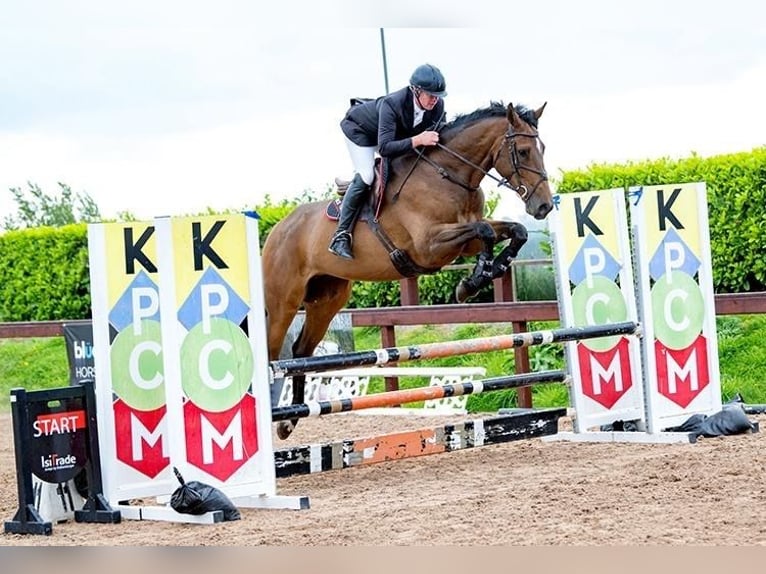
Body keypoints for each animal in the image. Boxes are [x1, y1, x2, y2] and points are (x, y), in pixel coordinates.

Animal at [262, 101, 552, 438]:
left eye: (542, 148)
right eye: (523, 151)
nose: (544, 206)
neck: (449, 176)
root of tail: (277, 229)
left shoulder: (462, 242)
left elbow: (513, 230)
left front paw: (482, 276)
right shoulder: (429, 246)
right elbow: (485, 231)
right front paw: (475, 278)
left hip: (327, 300)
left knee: (301, 350)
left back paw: (289, 421)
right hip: (284, 301)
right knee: (272, 351)